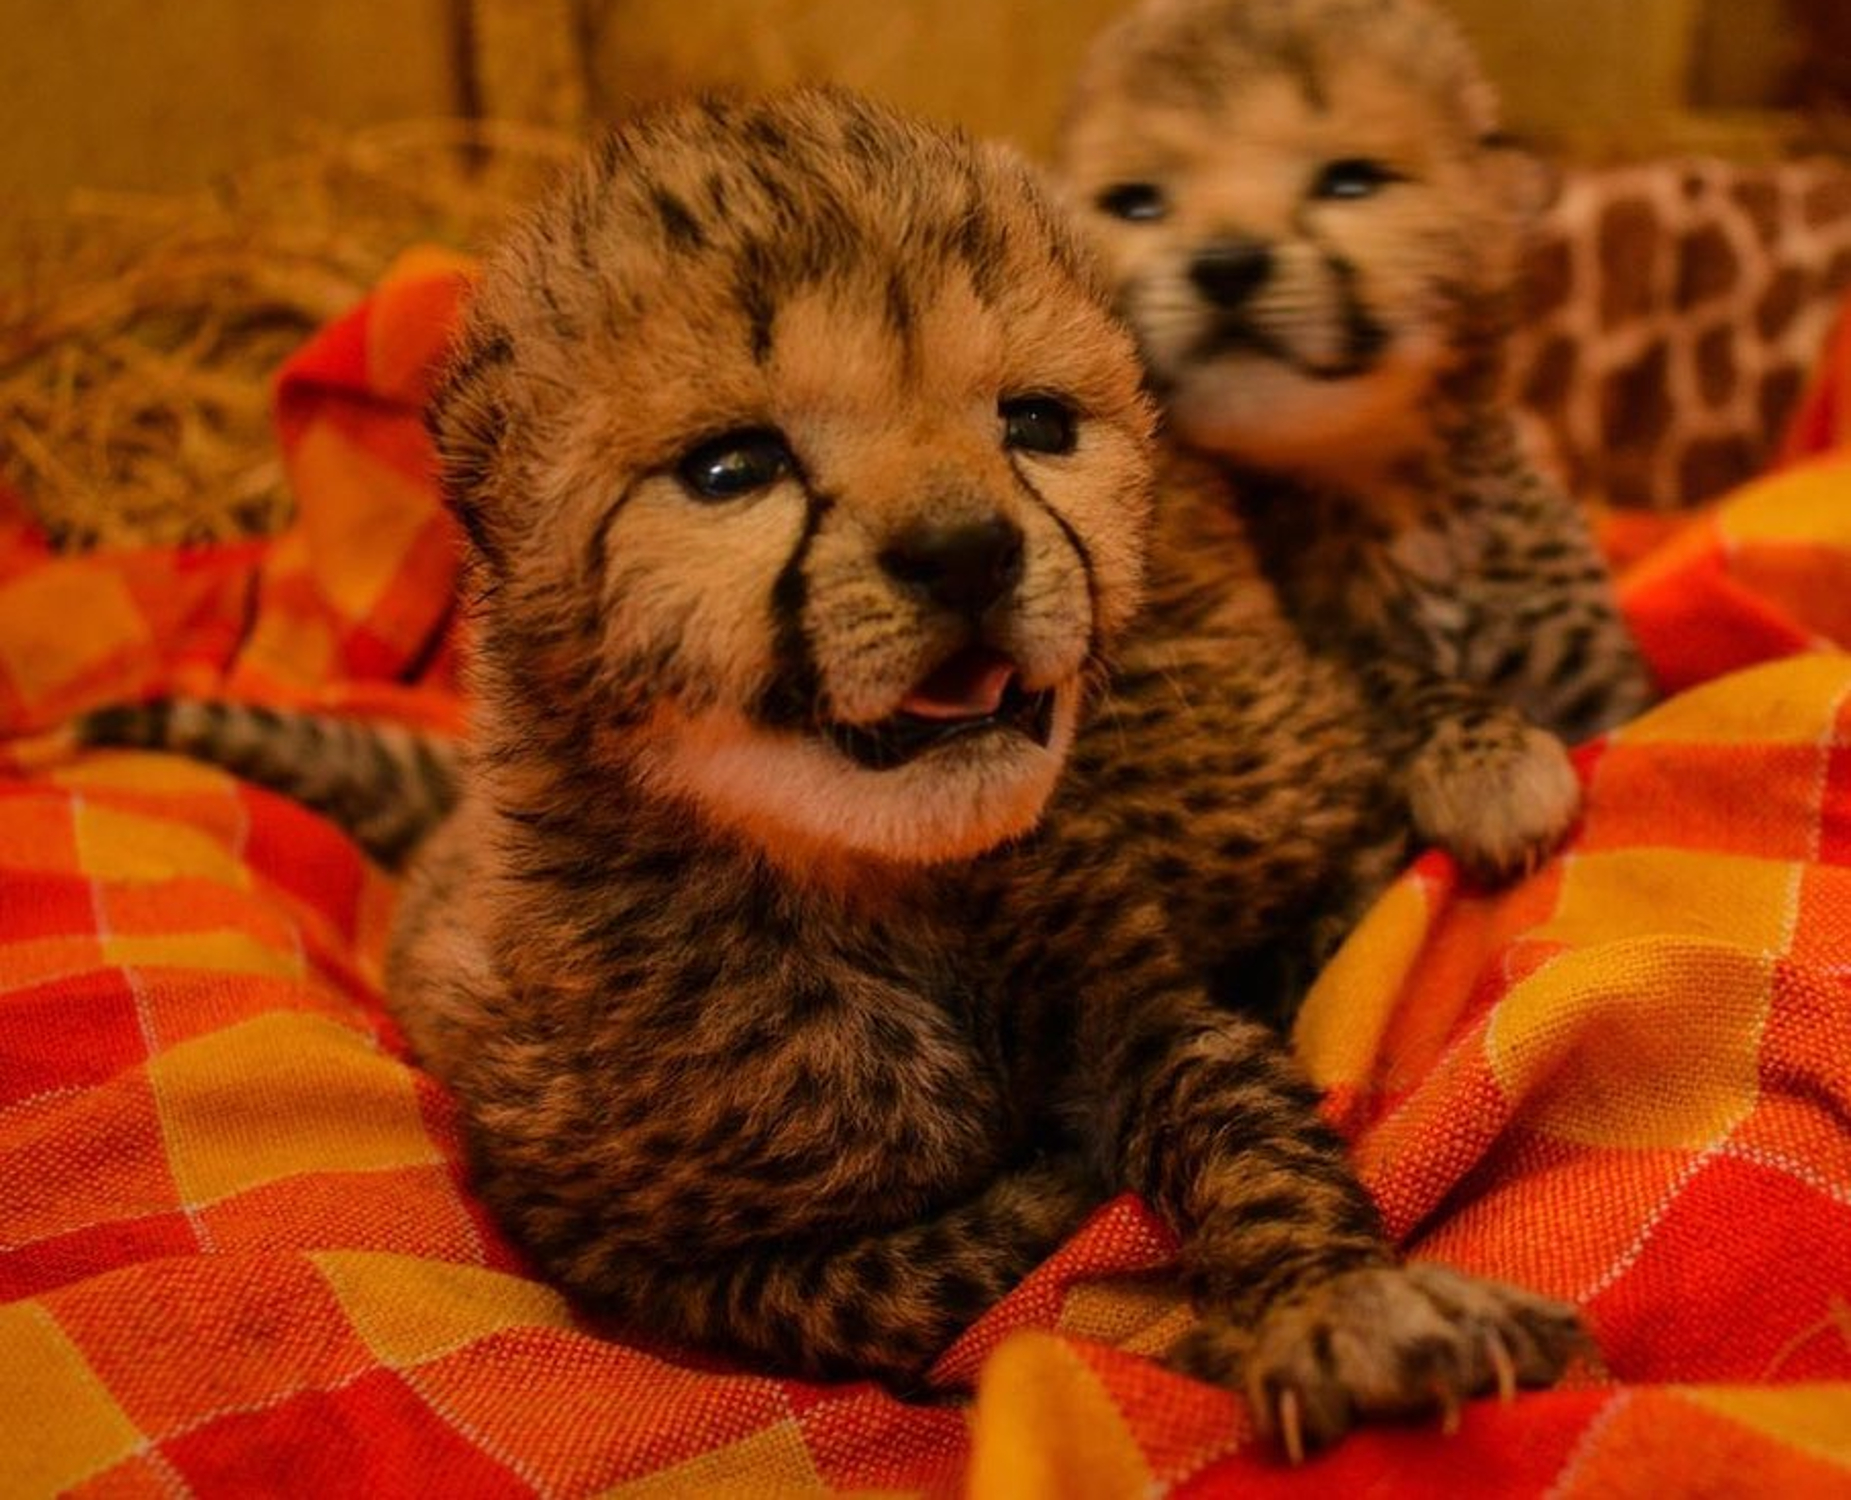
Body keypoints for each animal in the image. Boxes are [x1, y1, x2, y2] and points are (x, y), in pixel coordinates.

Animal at [72, 88, 1589, 1460]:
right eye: (731, 467)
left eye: (1036, 424)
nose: (966, 553)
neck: (862, 885)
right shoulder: (602, 1244)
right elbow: (872, 1286)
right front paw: (1051, 1204)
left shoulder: (1139, 1001)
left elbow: (1243, 1122)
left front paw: (1340, 1303)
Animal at [1059, 0, 1656, 884]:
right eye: (1134, 203)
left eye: (1350, 181)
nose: (1226, 264)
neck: (1382, 487)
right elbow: (1384, 677)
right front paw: (1492, 766)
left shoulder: (1601, 684)